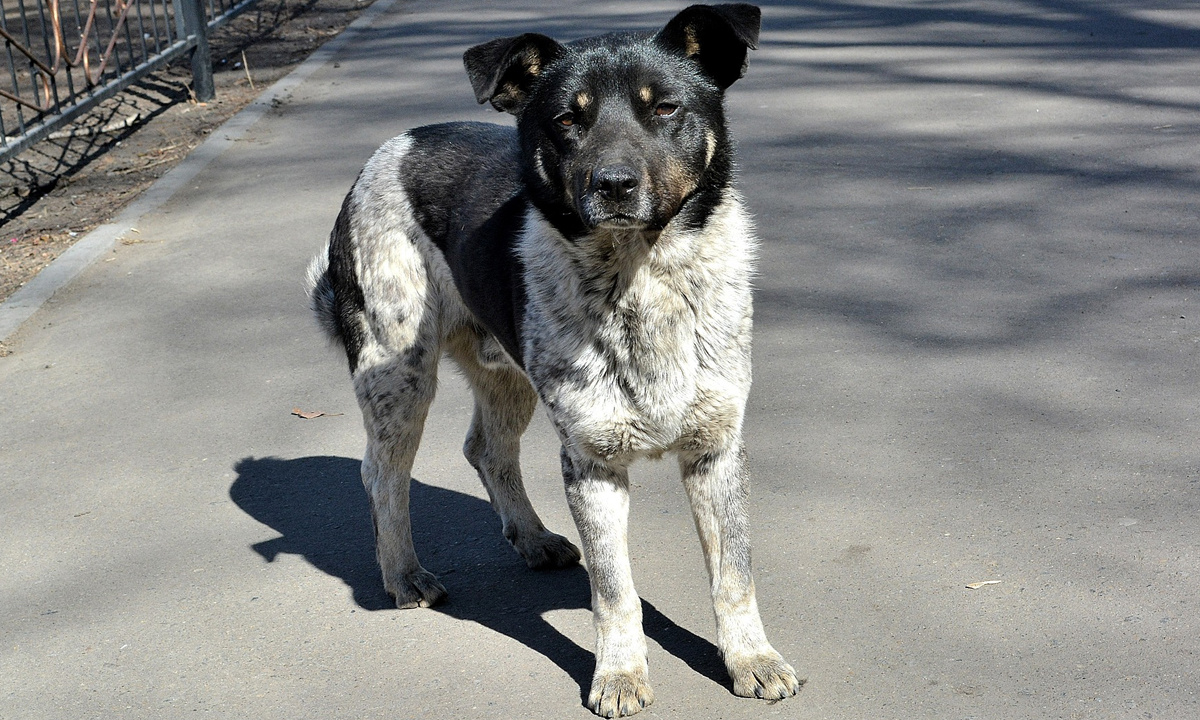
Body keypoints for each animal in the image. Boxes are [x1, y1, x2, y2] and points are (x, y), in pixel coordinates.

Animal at [304, 4, 801, 715]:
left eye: (665, 108)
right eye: (568, 118)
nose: (614, 185)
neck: (638, 278)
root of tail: (393, 146)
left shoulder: (716, 450)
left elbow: (733, 574)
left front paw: (751, 660)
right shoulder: (592, 465)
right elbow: (615, 592)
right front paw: (619, 675)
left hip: (506, 374)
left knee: (486, 449)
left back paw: (532, 537)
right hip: (399, 374)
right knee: (384, 475)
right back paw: (404, 575)